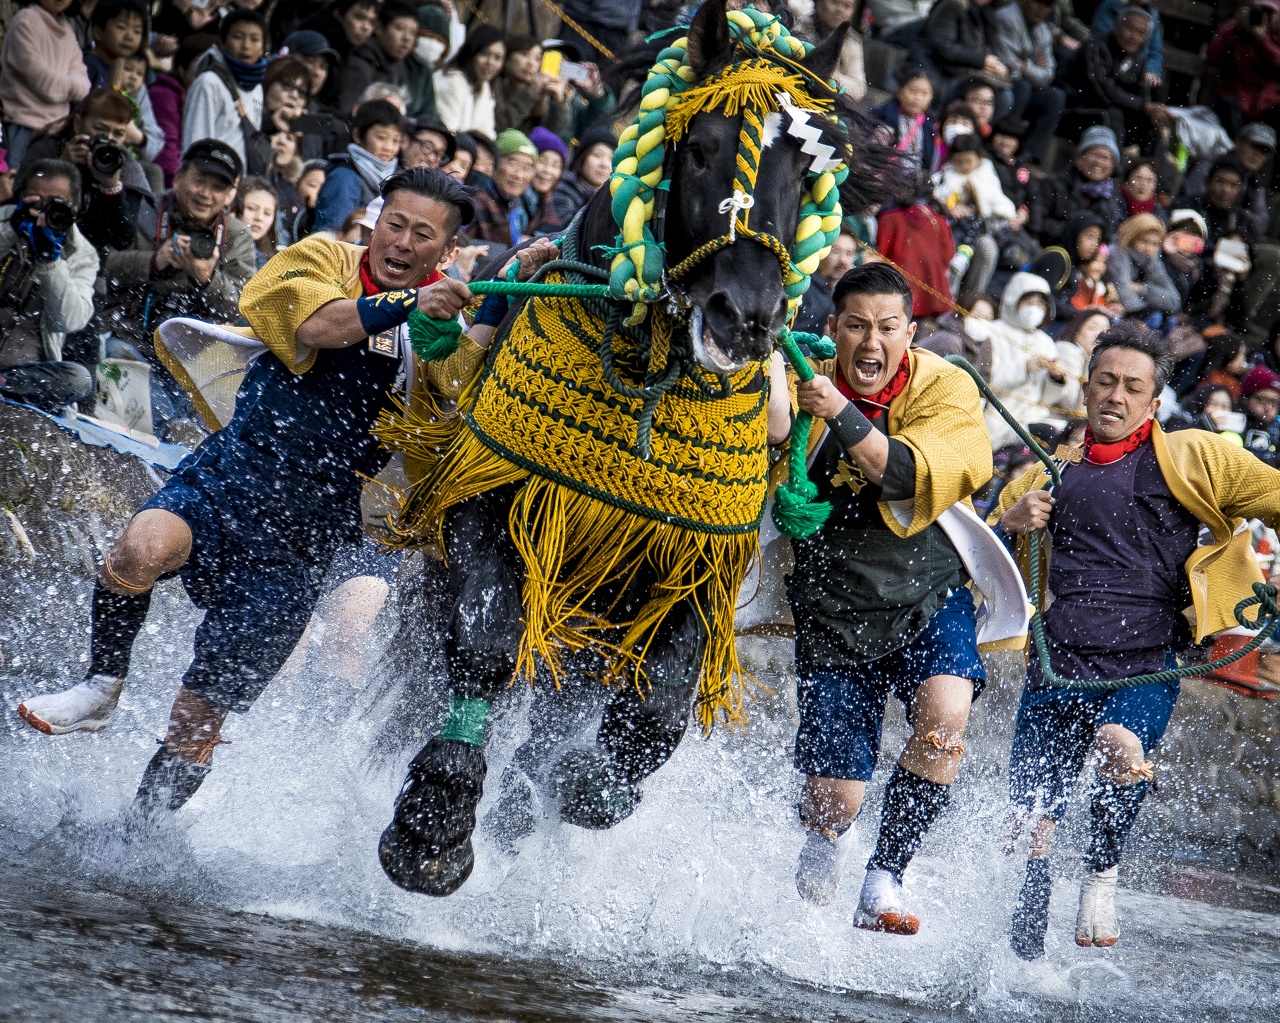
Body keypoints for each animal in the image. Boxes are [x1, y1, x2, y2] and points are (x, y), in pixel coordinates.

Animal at [373, 0, 896, 896]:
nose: (743, 318)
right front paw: (433, 818)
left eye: (804, 170)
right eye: (703, 146)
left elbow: (652, 712)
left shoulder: (692, 560)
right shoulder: (499, 499)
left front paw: (581, 786)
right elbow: (486, 642)